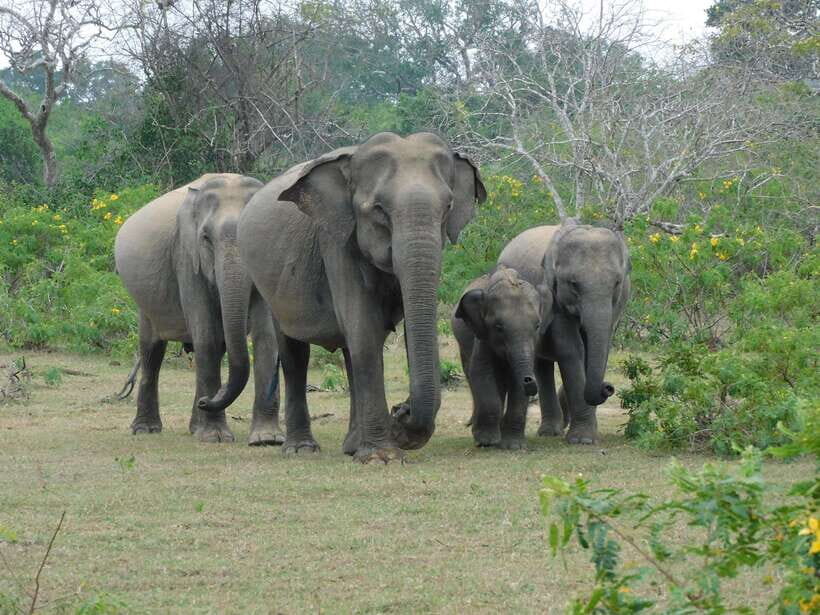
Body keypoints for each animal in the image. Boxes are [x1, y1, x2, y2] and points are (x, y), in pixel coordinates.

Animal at [114, 173, 284, 445]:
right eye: (205, 238)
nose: (207, 401)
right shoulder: (185, 255)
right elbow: (207, 337)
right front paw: (215, 437)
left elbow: (266, 336)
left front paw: (267, 439)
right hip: (146, 302)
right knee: (151, 350)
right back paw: (145, 429)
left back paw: (195, 426)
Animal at [237, 132, 486, 462]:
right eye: (379, 208)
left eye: (448, 207)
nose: (401, 411)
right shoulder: (336, 239)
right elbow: (364, 330)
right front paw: (384, 456)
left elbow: (386, 335)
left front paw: (386, 442)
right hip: (271, 286)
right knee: (295, 353)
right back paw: (302, 449)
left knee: (348, 351)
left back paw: (353, 445)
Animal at [452, 265, 552, 449]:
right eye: (498, 327)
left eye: (537, 326)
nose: (530, 381)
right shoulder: (483, 335)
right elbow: (481, 372)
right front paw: (487, 442)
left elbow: (515, 382)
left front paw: (513, 446)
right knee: (472, 375)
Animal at [498, 218, 630, 444]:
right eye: (573, 284)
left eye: (617, 283)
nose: (608, 387)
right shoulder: (553, 295)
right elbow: (571, 349)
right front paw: (583, 440)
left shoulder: (618, 304)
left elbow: (599, 348)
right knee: (541, 364)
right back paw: (550, 431)